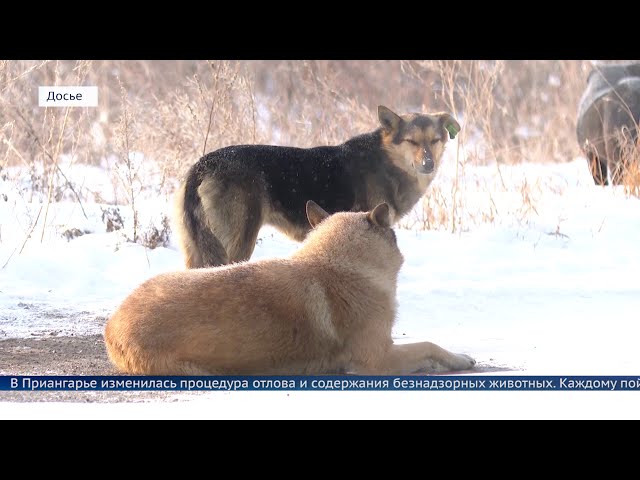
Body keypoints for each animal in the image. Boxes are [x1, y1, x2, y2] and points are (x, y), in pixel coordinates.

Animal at [172, 105, 458, 268]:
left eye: (434, 140)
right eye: (411, 141)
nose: (429, 164)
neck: (386, 160)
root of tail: (200, 167)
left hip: (195, 248)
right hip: (239, 241)